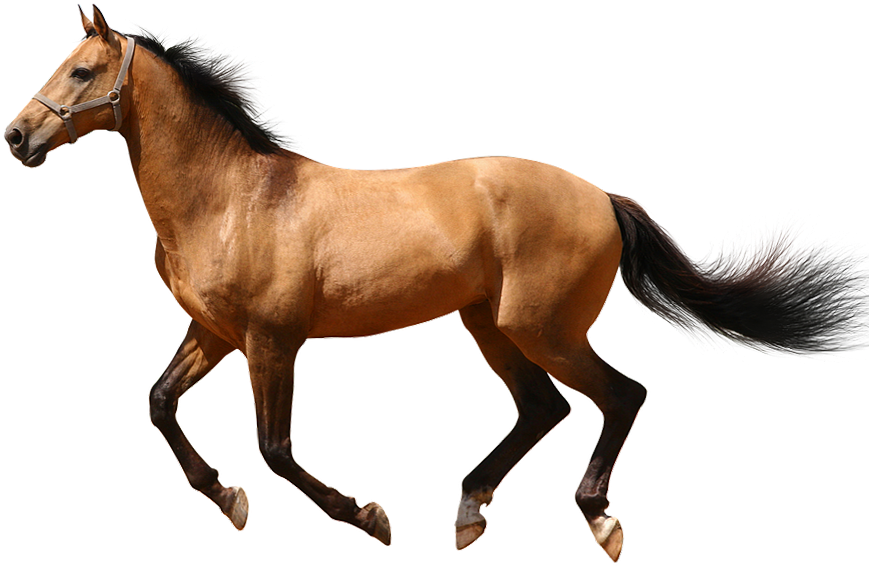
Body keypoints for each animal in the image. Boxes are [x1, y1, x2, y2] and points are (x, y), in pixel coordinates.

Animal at [5, 5, 867, 561]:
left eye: (83, 70)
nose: (17, 136)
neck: (230, 198)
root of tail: (601, 196)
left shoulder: (271, 339)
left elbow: (275, 448)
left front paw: (371, 518)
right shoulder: (213, 333)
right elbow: (159, 404)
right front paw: (229, 500)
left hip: (539, 326)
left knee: (620, 395)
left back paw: (599, 523)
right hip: (487, 323)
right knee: (543, 409)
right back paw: (468, 514)